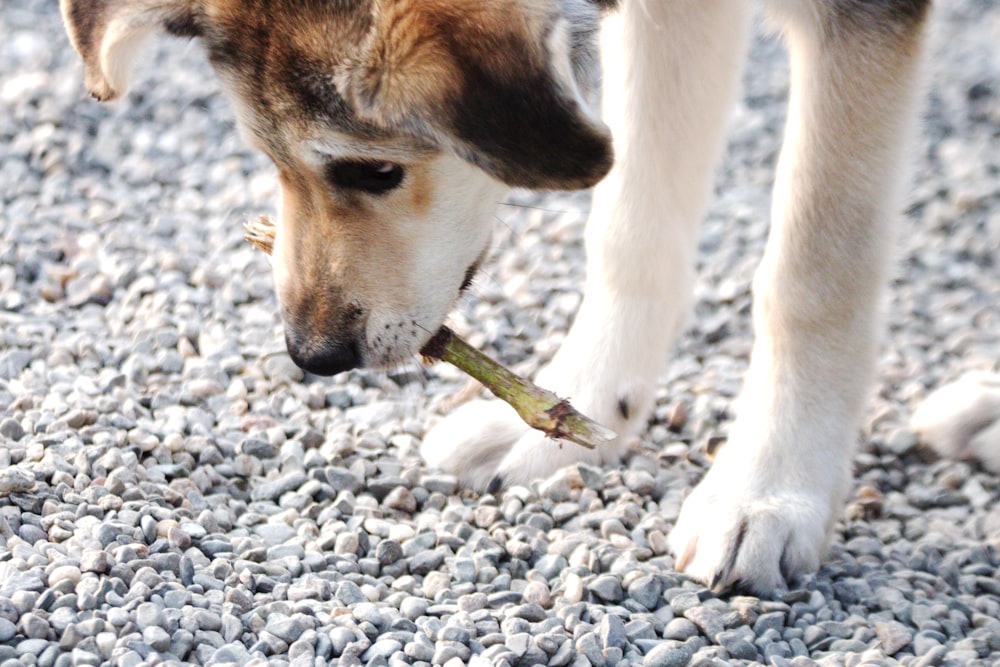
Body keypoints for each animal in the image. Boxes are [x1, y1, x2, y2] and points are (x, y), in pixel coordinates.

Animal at [62, 0, 944, 596]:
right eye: (266, 157)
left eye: (374, 170)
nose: (311, 354)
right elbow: (629, 222)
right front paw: (583, 405)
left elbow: (812, 270)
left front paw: (769, 488)